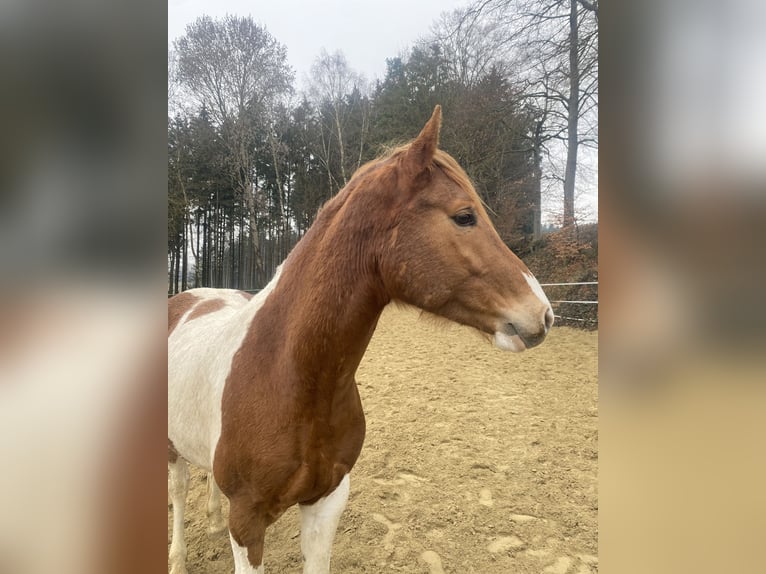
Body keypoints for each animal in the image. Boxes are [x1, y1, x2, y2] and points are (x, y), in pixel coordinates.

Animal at [168, 107, 556, 574]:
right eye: (465, 216)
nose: (543, 313)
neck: (286, 373)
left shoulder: (327, 501)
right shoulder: (246, 521)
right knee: (177, 490)